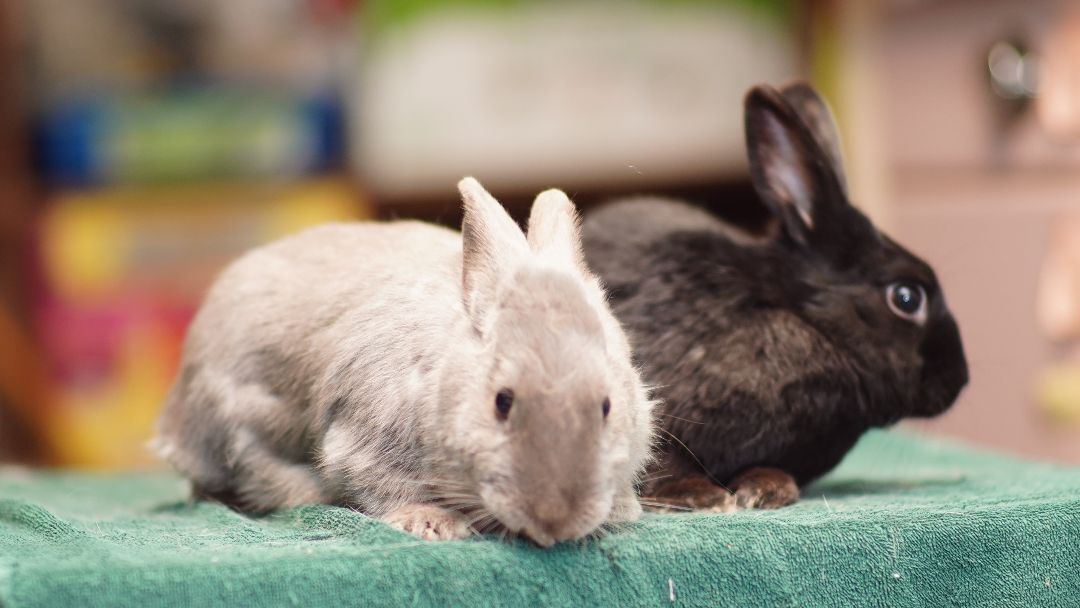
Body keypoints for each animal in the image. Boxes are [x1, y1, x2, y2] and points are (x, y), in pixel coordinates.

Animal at [153, 177, 655, 546]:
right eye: (502, 402)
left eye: (607, 407)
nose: (555, 521)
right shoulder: (363, 442)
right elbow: (382, 485)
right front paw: (432, 524)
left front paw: (623, 509)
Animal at [580, 83, 969, 510]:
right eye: (906, 298)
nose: (960, 380)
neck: (803, 320)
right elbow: (659, 462)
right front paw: (703, 496)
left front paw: (766, 489)